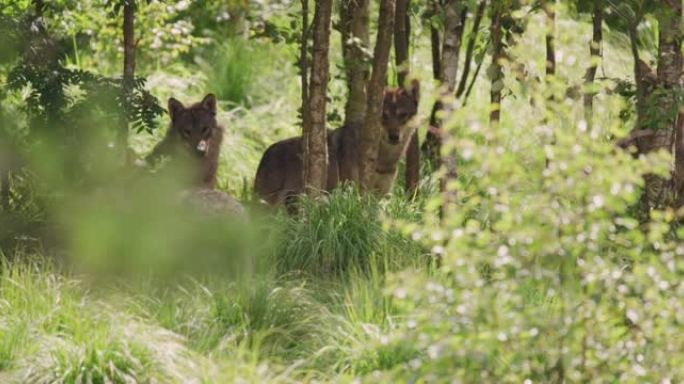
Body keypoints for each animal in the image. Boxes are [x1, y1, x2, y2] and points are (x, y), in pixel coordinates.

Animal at [254, 79, 420, 206]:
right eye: (383, 116)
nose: (394, 136)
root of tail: (266, 153)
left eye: (403, 115)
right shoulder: (354, 192)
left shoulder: (377, 197)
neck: (383, 160)